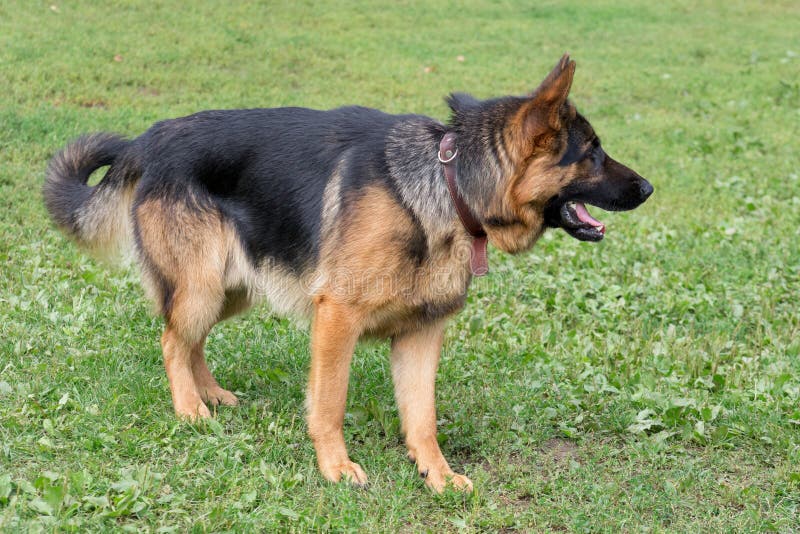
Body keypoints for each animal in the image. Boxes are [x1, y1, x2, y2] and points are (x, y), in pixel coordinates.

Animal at [43, 55, 648, 494]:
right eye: (593, 154)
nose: (648, 188)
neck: (446, 186)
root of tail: (148, 139)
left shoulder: (422, 335)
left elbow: (422, 417)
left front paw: (437, 474)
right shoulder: (337, 318)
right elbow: (329, 402)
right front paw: (335, 467)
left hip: (234, 286)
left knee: (191, 339)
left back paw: (210, 394)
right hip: (203, 284)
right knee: (172, 339)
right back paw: (190, 409)